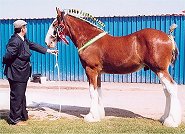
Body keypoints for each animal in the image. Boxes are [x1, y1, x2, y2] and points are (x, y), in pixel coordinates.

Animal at [45, 7, 182, 127]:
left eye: (55, 24)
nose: (47, 42)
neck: (89, 39)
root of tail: (168, 37)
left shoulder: (91, 70)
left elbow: (92, 92)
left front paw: (91, 117)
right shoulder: (98, 73)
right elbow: (98, 91)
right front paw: (99, 115)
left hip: (160, 70)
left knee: (171, 88)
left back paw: (171, 121)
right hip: (160, 71)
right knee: (166, 91)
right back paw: (164, 118)